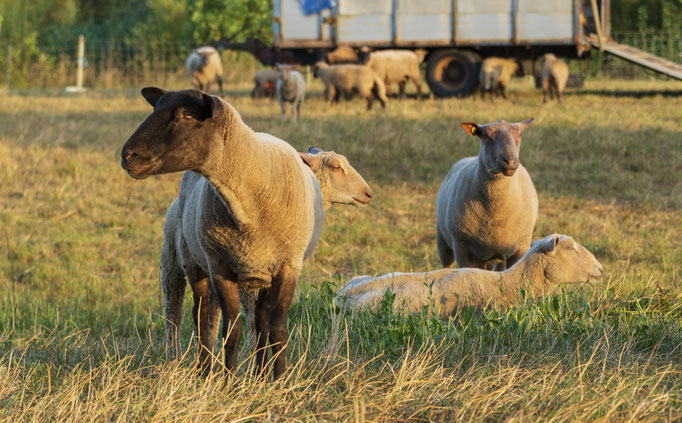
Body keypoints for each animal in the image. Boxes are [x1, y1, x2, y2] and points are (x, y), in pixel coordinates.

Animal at [119, 88, 322, 380]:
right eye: (155, 108)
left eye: (186, 114)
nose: (127, 155)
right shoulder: (220, 267)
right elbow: (231, 331)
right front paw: (229, 381)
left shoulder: (288, 266)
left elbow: (278, 330)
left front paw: (279, 380)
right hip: (193, 261)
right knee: (202, 315)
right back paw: (204, 371)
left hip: (260, 272)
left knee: (260, 319)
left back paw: (261, 374)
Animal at [436, 119, 536, 272]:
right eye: (485, 136)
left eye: (519, 134)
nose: (510, 161)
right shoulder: (462, 249)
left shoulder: (520, 248)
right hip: (443, 240)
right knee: (446, 265)